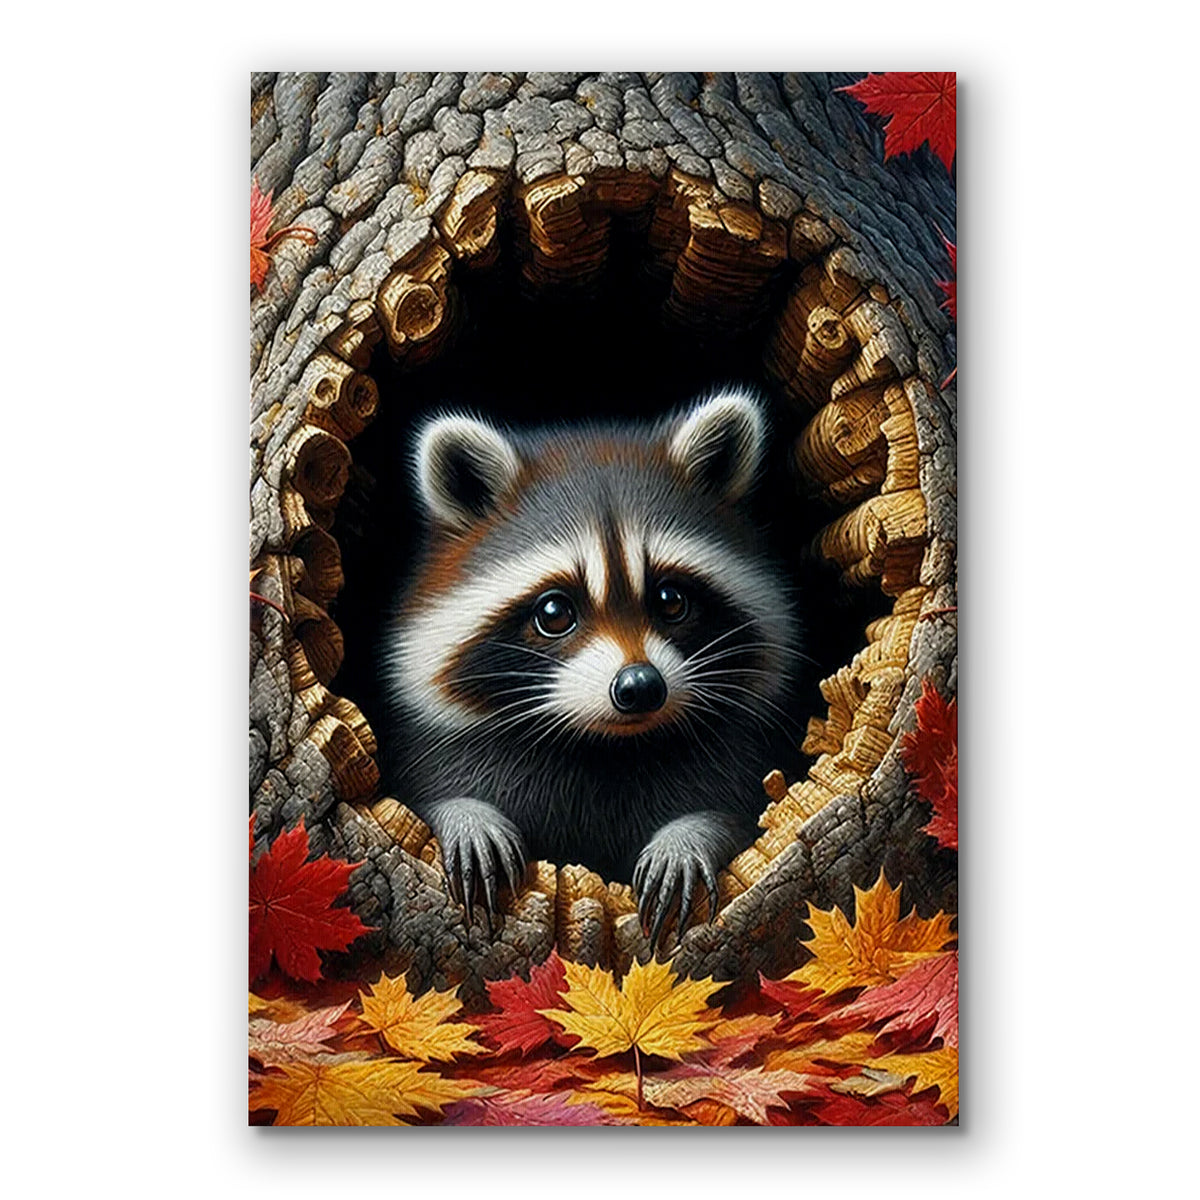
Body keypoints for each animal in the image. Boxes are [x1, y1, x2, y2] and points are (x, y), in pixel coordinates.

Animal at [380, 388, 801, 949]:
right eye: (555, 612)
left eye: (670, 600)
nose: (640, 686)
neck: (604, 745)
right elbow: (422, 799)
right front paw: (467, 818)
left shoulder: (742, 753)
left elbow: (748, 813)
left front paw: (689, 837)